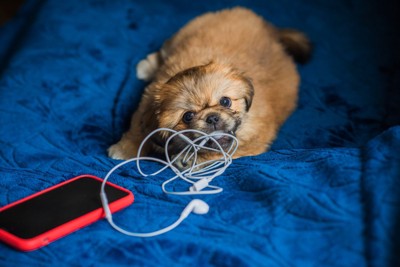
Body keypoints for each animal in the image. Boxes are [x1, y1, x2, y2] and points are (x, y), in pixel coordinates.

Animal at [108, 7, 310, 166]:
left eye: (225, 101)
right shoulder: (147, 102)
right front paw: (125, 149)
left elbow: (221, 152)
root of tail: (268, 29)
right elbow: (139, 129)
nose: (212, 118)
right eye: (187, 116)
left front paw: (190, 160)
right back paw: (147, 66)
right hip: (183, 33)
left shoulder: (254, 141)